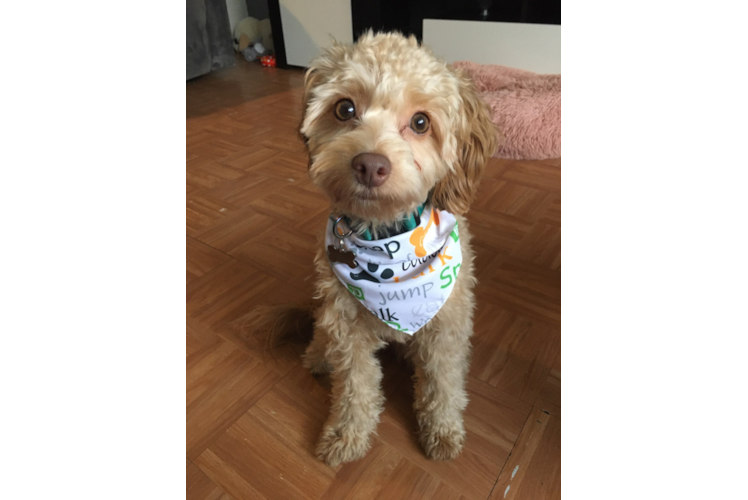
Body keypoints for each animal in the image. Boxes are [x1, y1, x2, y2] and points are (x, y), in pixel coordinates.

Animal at [298, 33, 496, 466]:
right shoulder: (347, 327)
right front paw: (346, 434)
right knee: (323, 334)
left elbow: (443, 382)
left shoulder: (447, 326)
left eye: (421, 122)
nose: (370, 165)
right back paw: (318, 355)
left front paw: (442, 430)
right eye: (344, 108)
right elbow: (355, 386)